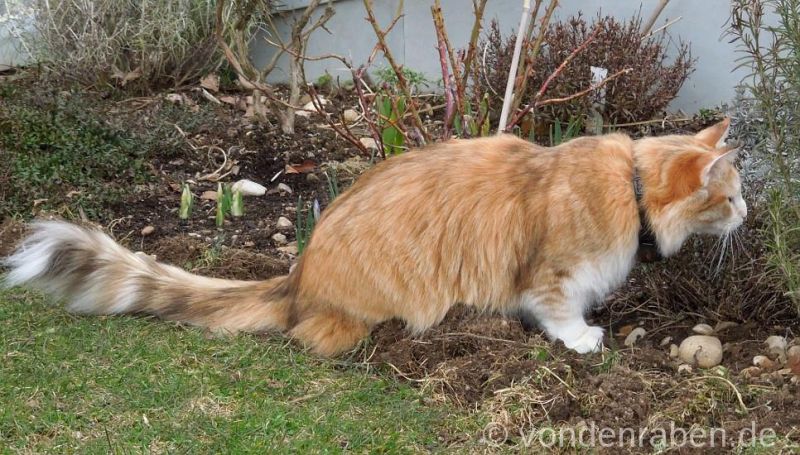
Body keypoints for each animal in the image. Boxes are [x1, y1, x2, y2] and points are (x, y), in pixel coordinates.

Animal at [3, 119, 748, 358]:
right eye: (732, 193)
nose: (748, 214)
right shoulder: (551, 274)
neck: (628, 184)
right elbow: (560, 312)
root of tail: (297, 275)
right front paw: (584, 338)